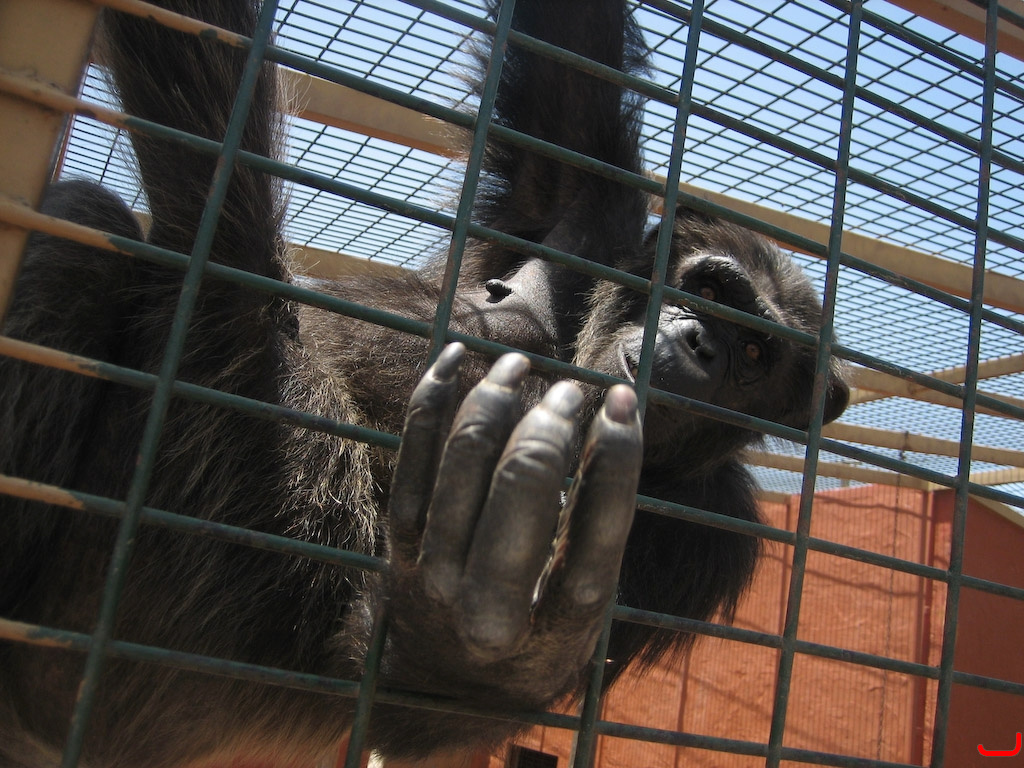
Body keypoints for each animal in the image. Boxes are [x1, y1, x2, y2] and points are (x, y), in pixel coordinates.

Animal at [0, 0, 849, 765]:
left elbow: (411, 698)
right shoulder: (585, 221)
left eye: (755, 354)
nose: (703, 343)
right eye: (709, 291)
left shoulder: (710, 537)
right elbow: (574, 74)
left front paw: (479, 627)